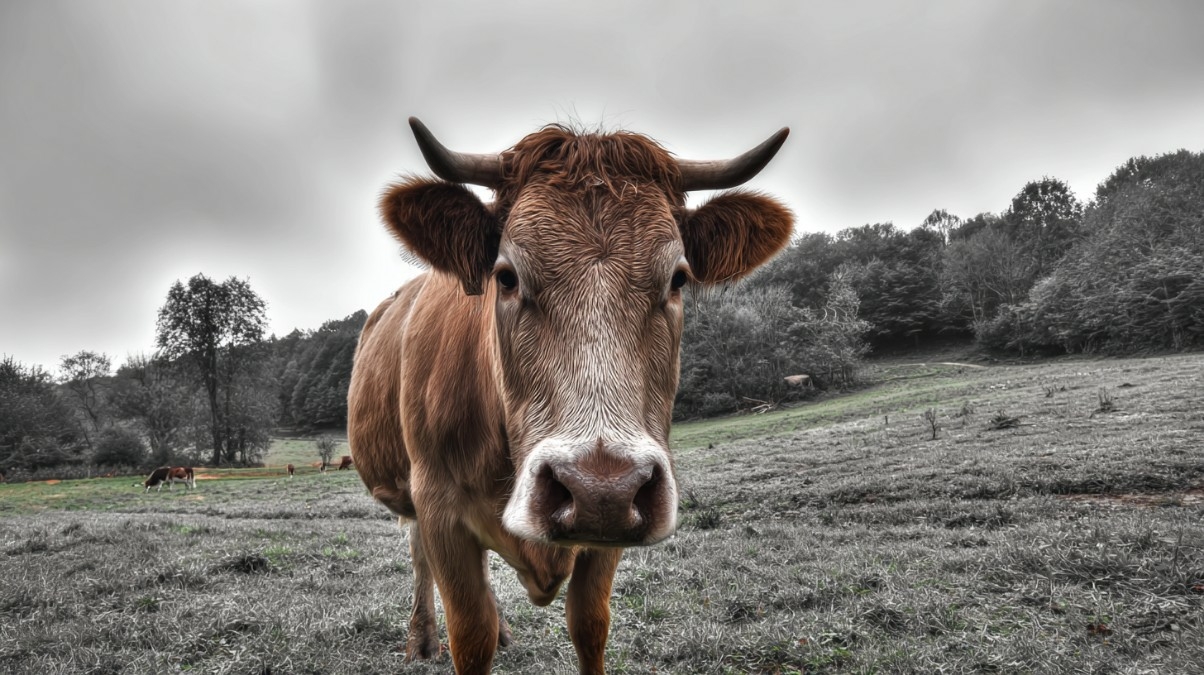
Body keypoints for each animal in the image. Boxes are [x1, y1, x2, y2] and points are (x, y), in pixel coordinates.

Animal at [349, 118, 793, 674]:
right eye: (506, 276)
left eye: (677, 279)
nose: (600, 489)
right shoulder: (439, 506)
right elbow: (470, 633)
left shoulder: (611, 533)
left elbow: (589, 625)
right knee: (418, 555)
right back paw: (423, 638)